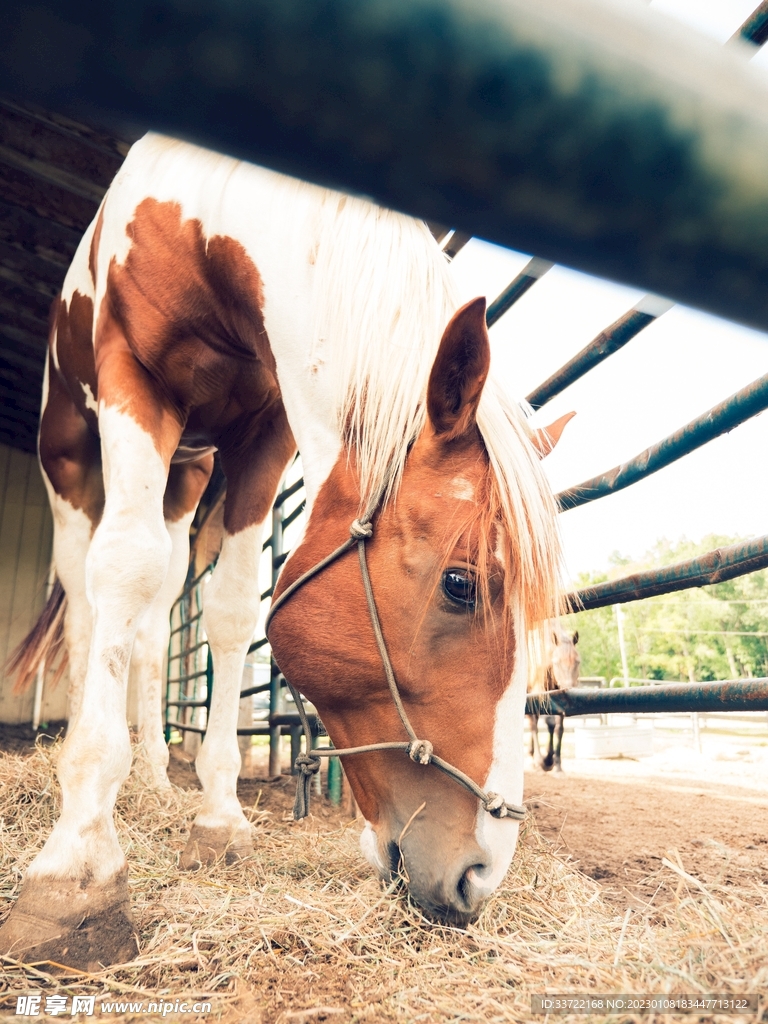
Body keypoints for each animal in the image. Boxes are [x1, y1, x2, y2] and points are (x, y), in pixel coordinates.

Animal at [0, 132, 569, 969]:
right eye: (461, 585)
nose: (479, 876)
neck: (205, 221)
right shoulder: (133, 382)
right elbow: (121, 573)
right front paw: (77, 865)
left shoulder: (263, 430)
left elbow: (234, 610)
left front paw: (217, 819)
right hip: (69, 453)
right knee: (86, 595)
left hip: (185, 477)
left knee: (153, 619)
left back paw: (153, 774)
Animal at [527, 623, 581, 772]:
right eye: (557, 662)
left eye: (577, 662)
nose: (569, 689)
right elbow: (541, 723)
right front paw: (542, 760)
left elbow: (558, 728)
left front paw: (555, 763)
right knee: (532, 723)